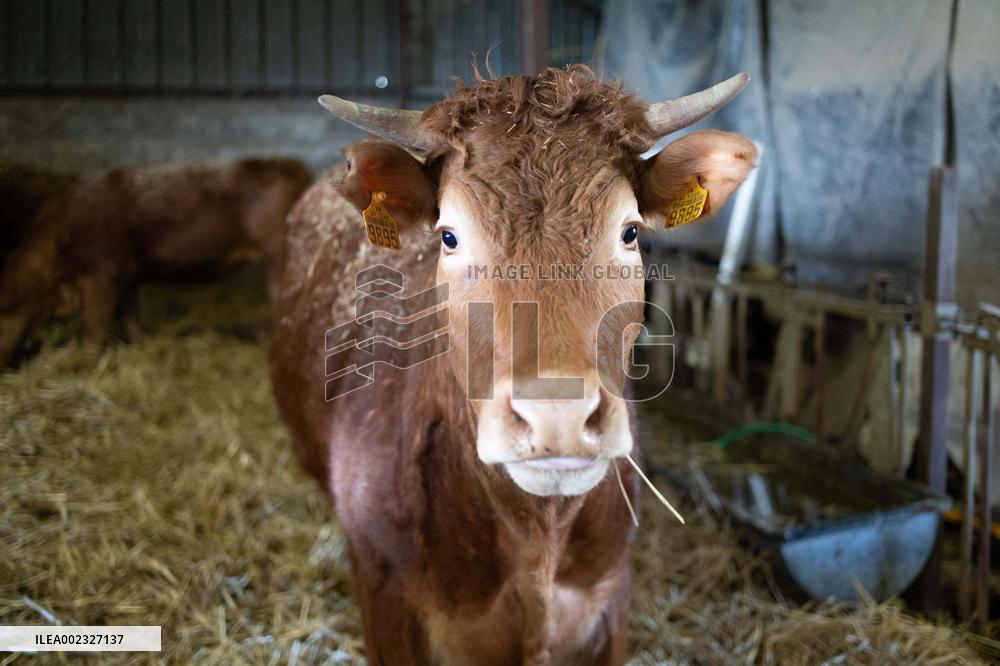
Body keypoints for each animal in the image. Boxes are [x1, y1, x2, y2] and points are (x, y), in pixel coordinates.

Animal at [0, 157, 312, 365]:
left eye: (2, 314)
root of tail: (287, 163)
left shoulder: (103, 272)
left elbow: (96, 321)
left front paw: (86, 359)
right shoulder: (128, 274)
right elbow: (130, 313)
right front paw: (140, 345)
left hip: (277, 254)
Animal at [270, 66, 756, 665]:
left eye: (630, 232)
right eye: (449, 236)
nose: (557, 417)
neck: (537, 545)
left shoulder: (610, 601)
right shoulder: (384, 599)